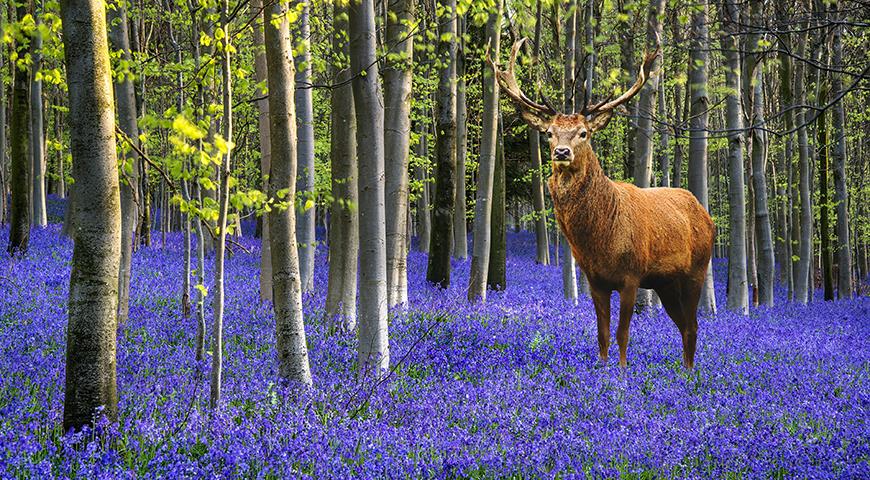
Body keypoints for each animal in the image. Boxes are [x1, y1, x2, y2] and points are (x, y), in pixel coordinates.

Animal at [490, 40, 716, 372]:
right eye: (549, 133)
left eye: (584, 133)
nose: (561, 152)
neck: (600, 239)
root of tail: (705, 214)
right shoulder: (595, 279)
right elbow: (603, 334)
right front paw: (603, 369)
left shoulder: (631, 275)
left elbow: (623, 334)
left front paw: (620, 374)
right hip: (666, 282)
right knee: (683, 325)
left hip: (696, 269)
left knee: (693, 325)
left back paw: (689, 375)